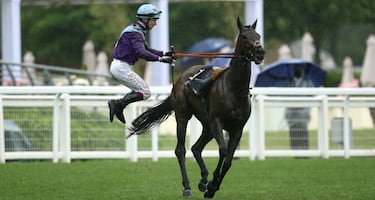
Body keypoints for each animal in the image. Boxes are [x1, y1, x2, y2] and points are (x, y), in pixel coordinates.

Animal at [128, 17, 266, 198]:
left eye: (258, 36)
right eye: (244, 37)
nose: (260, 52)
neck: (233, 88)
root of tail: (181, 79)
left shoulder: (238, 128)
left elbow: (228, 160)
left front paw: (212, 187)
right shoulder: (216, 122)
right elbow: (223, 150)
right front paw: (212, 185)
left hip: (206, 125)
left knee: (196, 148)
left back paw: (203, 180)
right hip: (183, 117)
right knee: (181, 150)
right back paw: (187, 186)